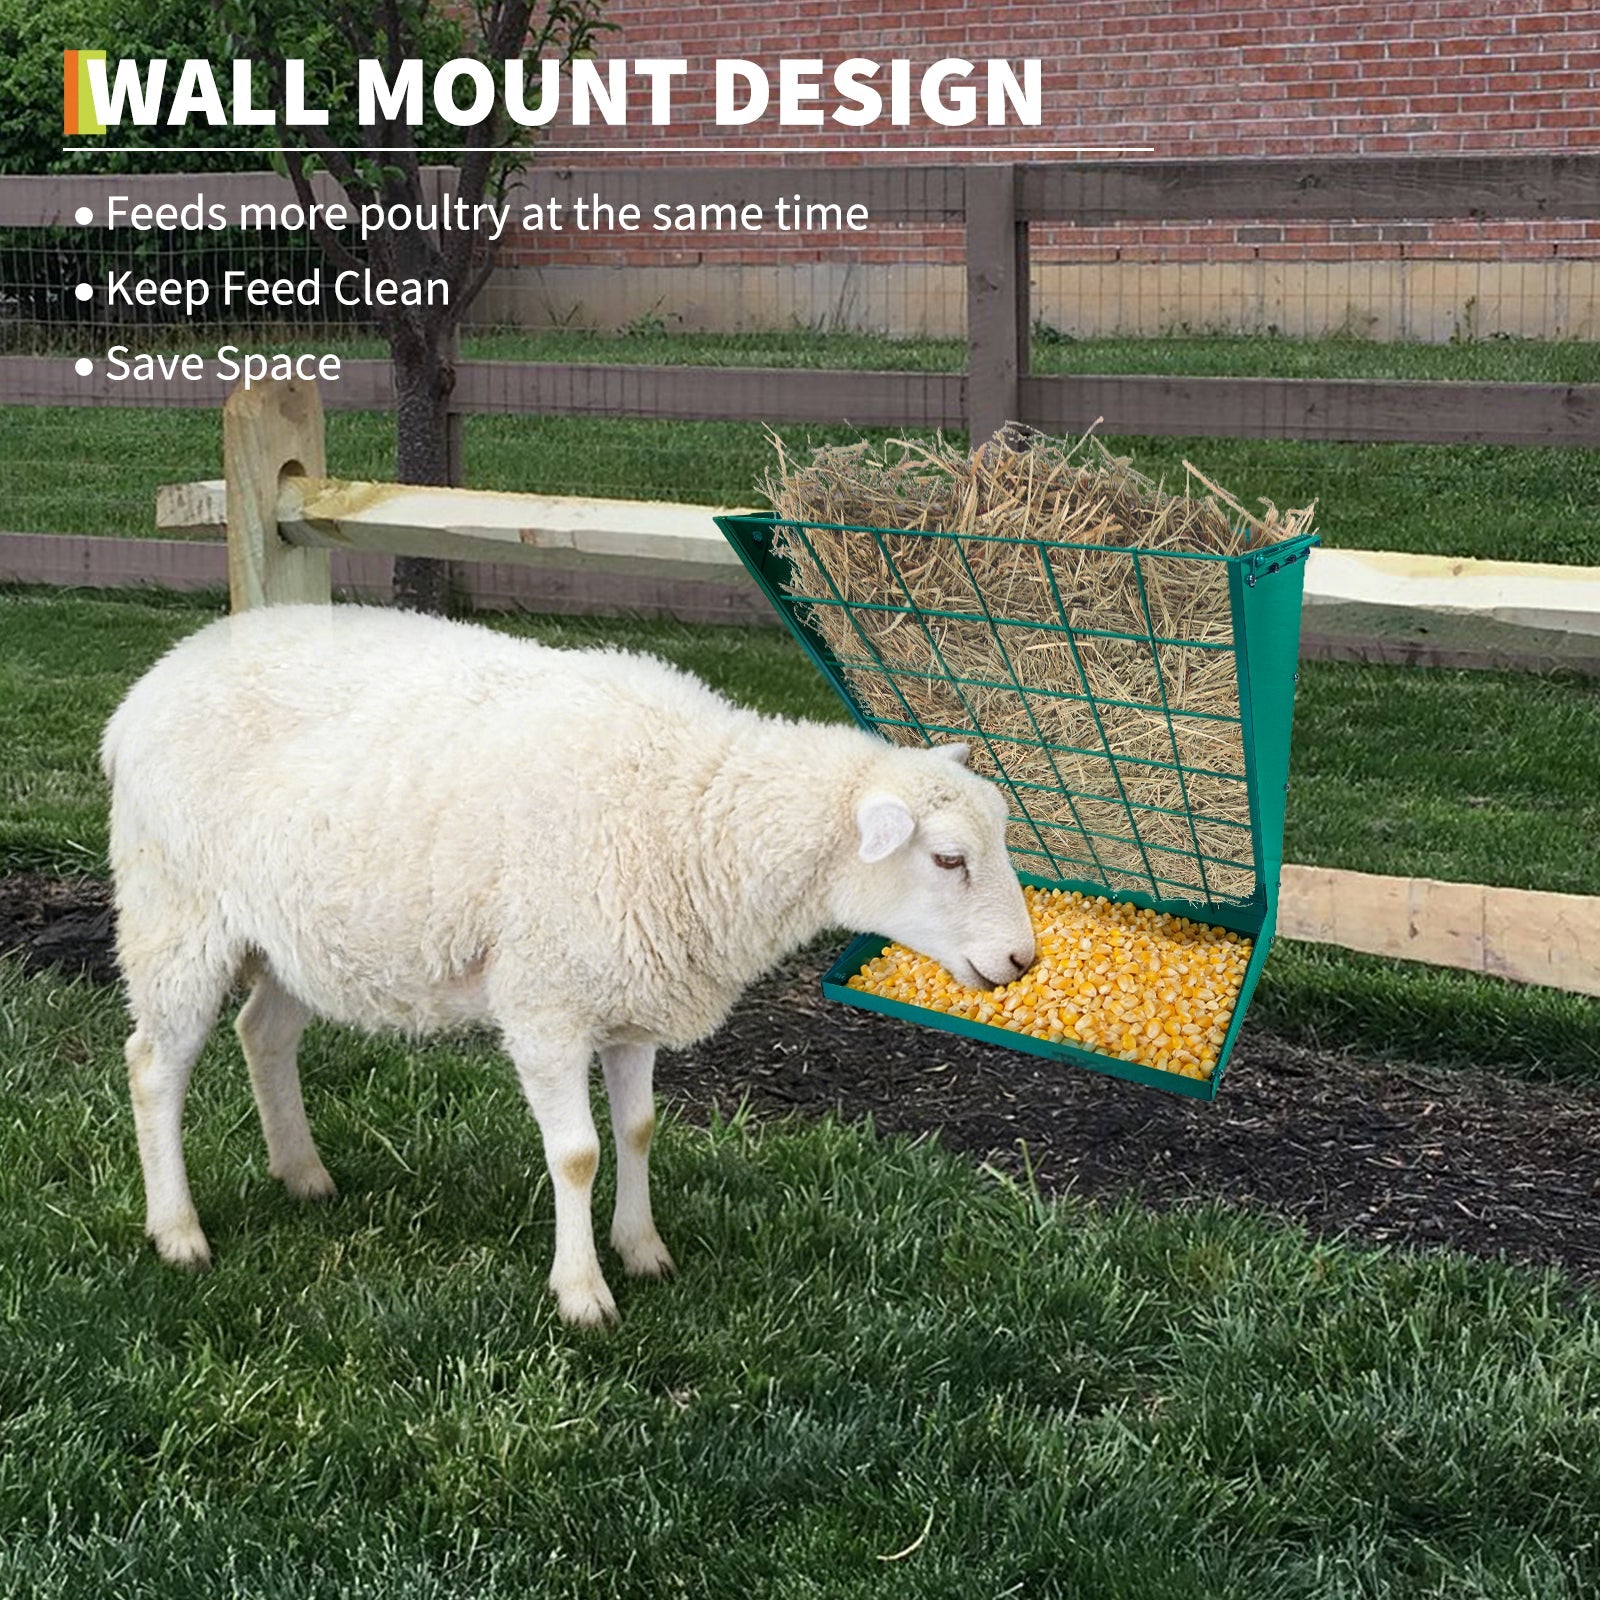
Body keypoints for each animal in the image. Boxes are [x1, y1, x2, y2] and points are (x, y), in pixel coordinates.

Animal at [101, 603, 1035, 1325]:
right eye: (949, 859)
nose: (1020, 959)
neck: (694, 814)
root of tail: (156, 680)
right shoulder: (546, 999)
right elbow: (579, 1154)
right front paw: (583, 1292)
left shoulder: (632, 996)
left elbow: (639, 1128)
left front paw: (643, 1248)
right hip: (174, 907)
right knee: (155, 1065)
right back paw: (178, 1230)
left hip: (296, 933)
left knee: (263, 1032)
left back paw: (302, 1175)